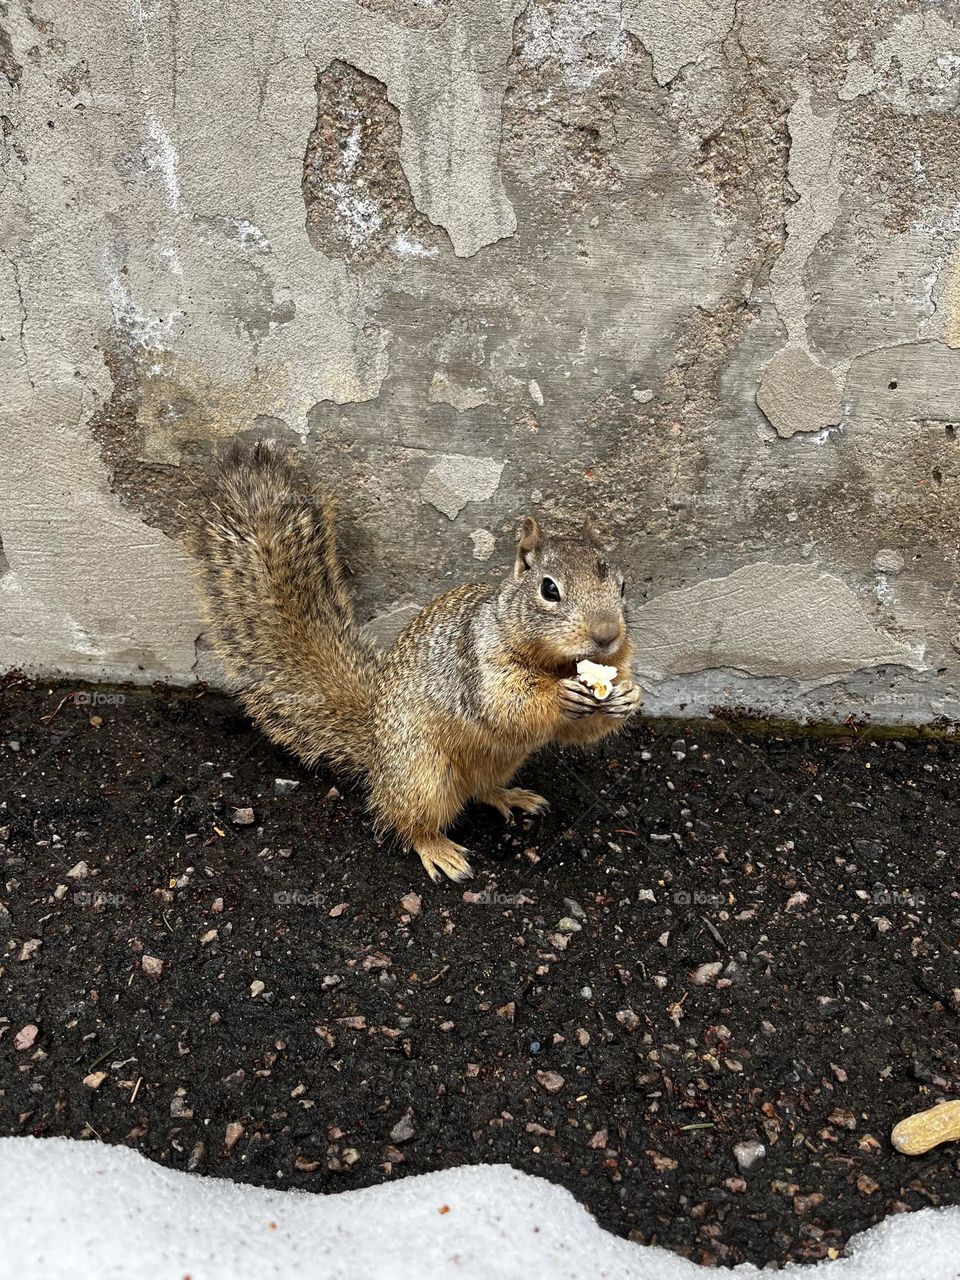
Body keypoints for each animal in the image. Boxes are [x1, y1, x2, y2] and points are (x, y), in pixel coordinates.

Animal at [195, 442, 641, 883]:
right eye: (549, 589)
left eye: (622, 586)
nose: (607, 636)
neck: (557, 662)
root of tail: (376, 750)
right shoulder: (479, 662)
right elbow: (506, 705)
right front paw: (562, 695)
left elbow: (579, 731)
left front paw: (629, 697)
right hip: (422, 777)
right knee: (409, 822)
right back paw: (439, 850)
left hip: (499, 761)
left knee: (481, 790)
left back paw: (511, 795)